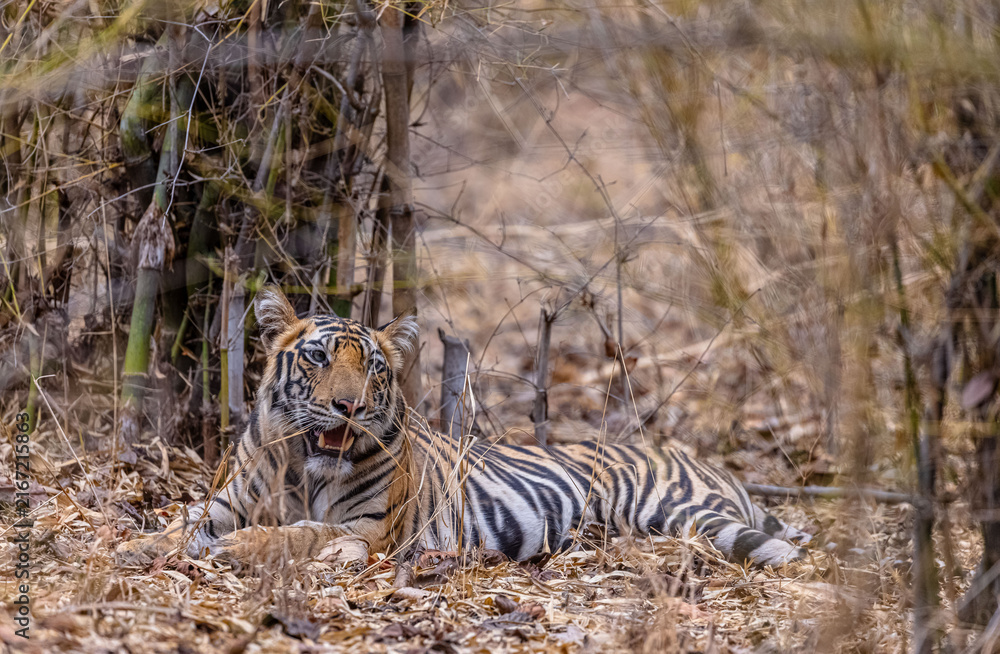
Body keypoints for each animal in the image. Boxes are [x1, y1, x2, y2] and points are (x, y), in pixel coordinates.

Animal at [116, 285, 811, 569]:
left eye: (372, 368)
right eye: (316, 358)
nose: (348, 408)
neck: (299, 468)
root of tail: (708, 462)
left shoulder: (365, 530)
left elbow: (299, 534)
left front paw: (237, 550)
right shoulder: (226, 501)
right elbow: (181, 523)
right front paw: (128, 547)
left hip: (680, 510)